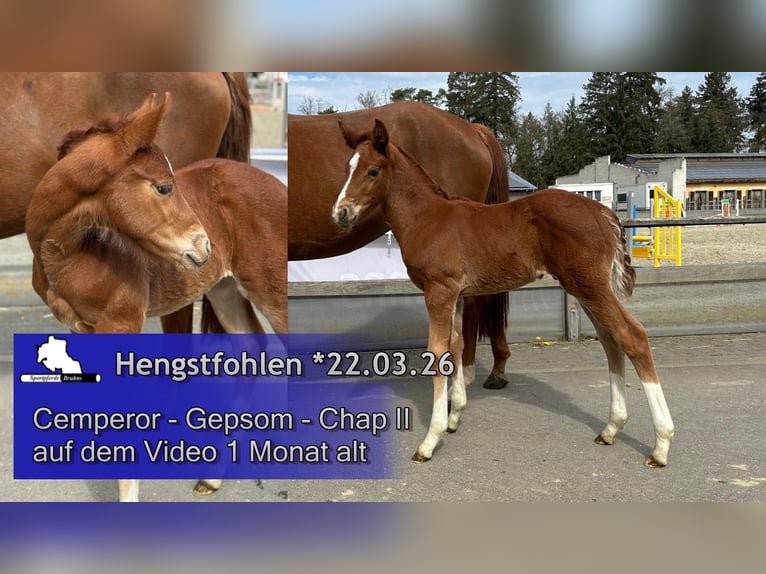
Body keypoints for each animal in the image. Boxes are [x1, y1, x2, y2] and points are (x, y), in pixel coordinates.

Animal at [25, 94, 287, 501]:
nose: (204, 245)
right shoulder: (77, 328)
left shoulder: (122, 323)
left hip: (273, 288)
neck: (72, 254)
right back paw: (212, 478)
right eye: (164, 187)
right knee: (253, 348)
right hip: (224, 288)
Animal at [331, 119, 675, 469]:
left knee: (632, 336)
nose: (340, 213)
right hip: (583, 287)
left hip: (591, 286)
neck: (425, 216)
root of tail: (602, 213)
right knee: (610, 341)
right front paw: (455, 416)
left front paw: (430, 439)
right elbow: (457, 346)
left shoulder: (439, 290)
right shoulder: (456, 293)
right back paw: (611, 428)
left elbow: (438, 352)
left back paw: (660, 444)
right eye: (347, 168)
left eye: (373, 171)